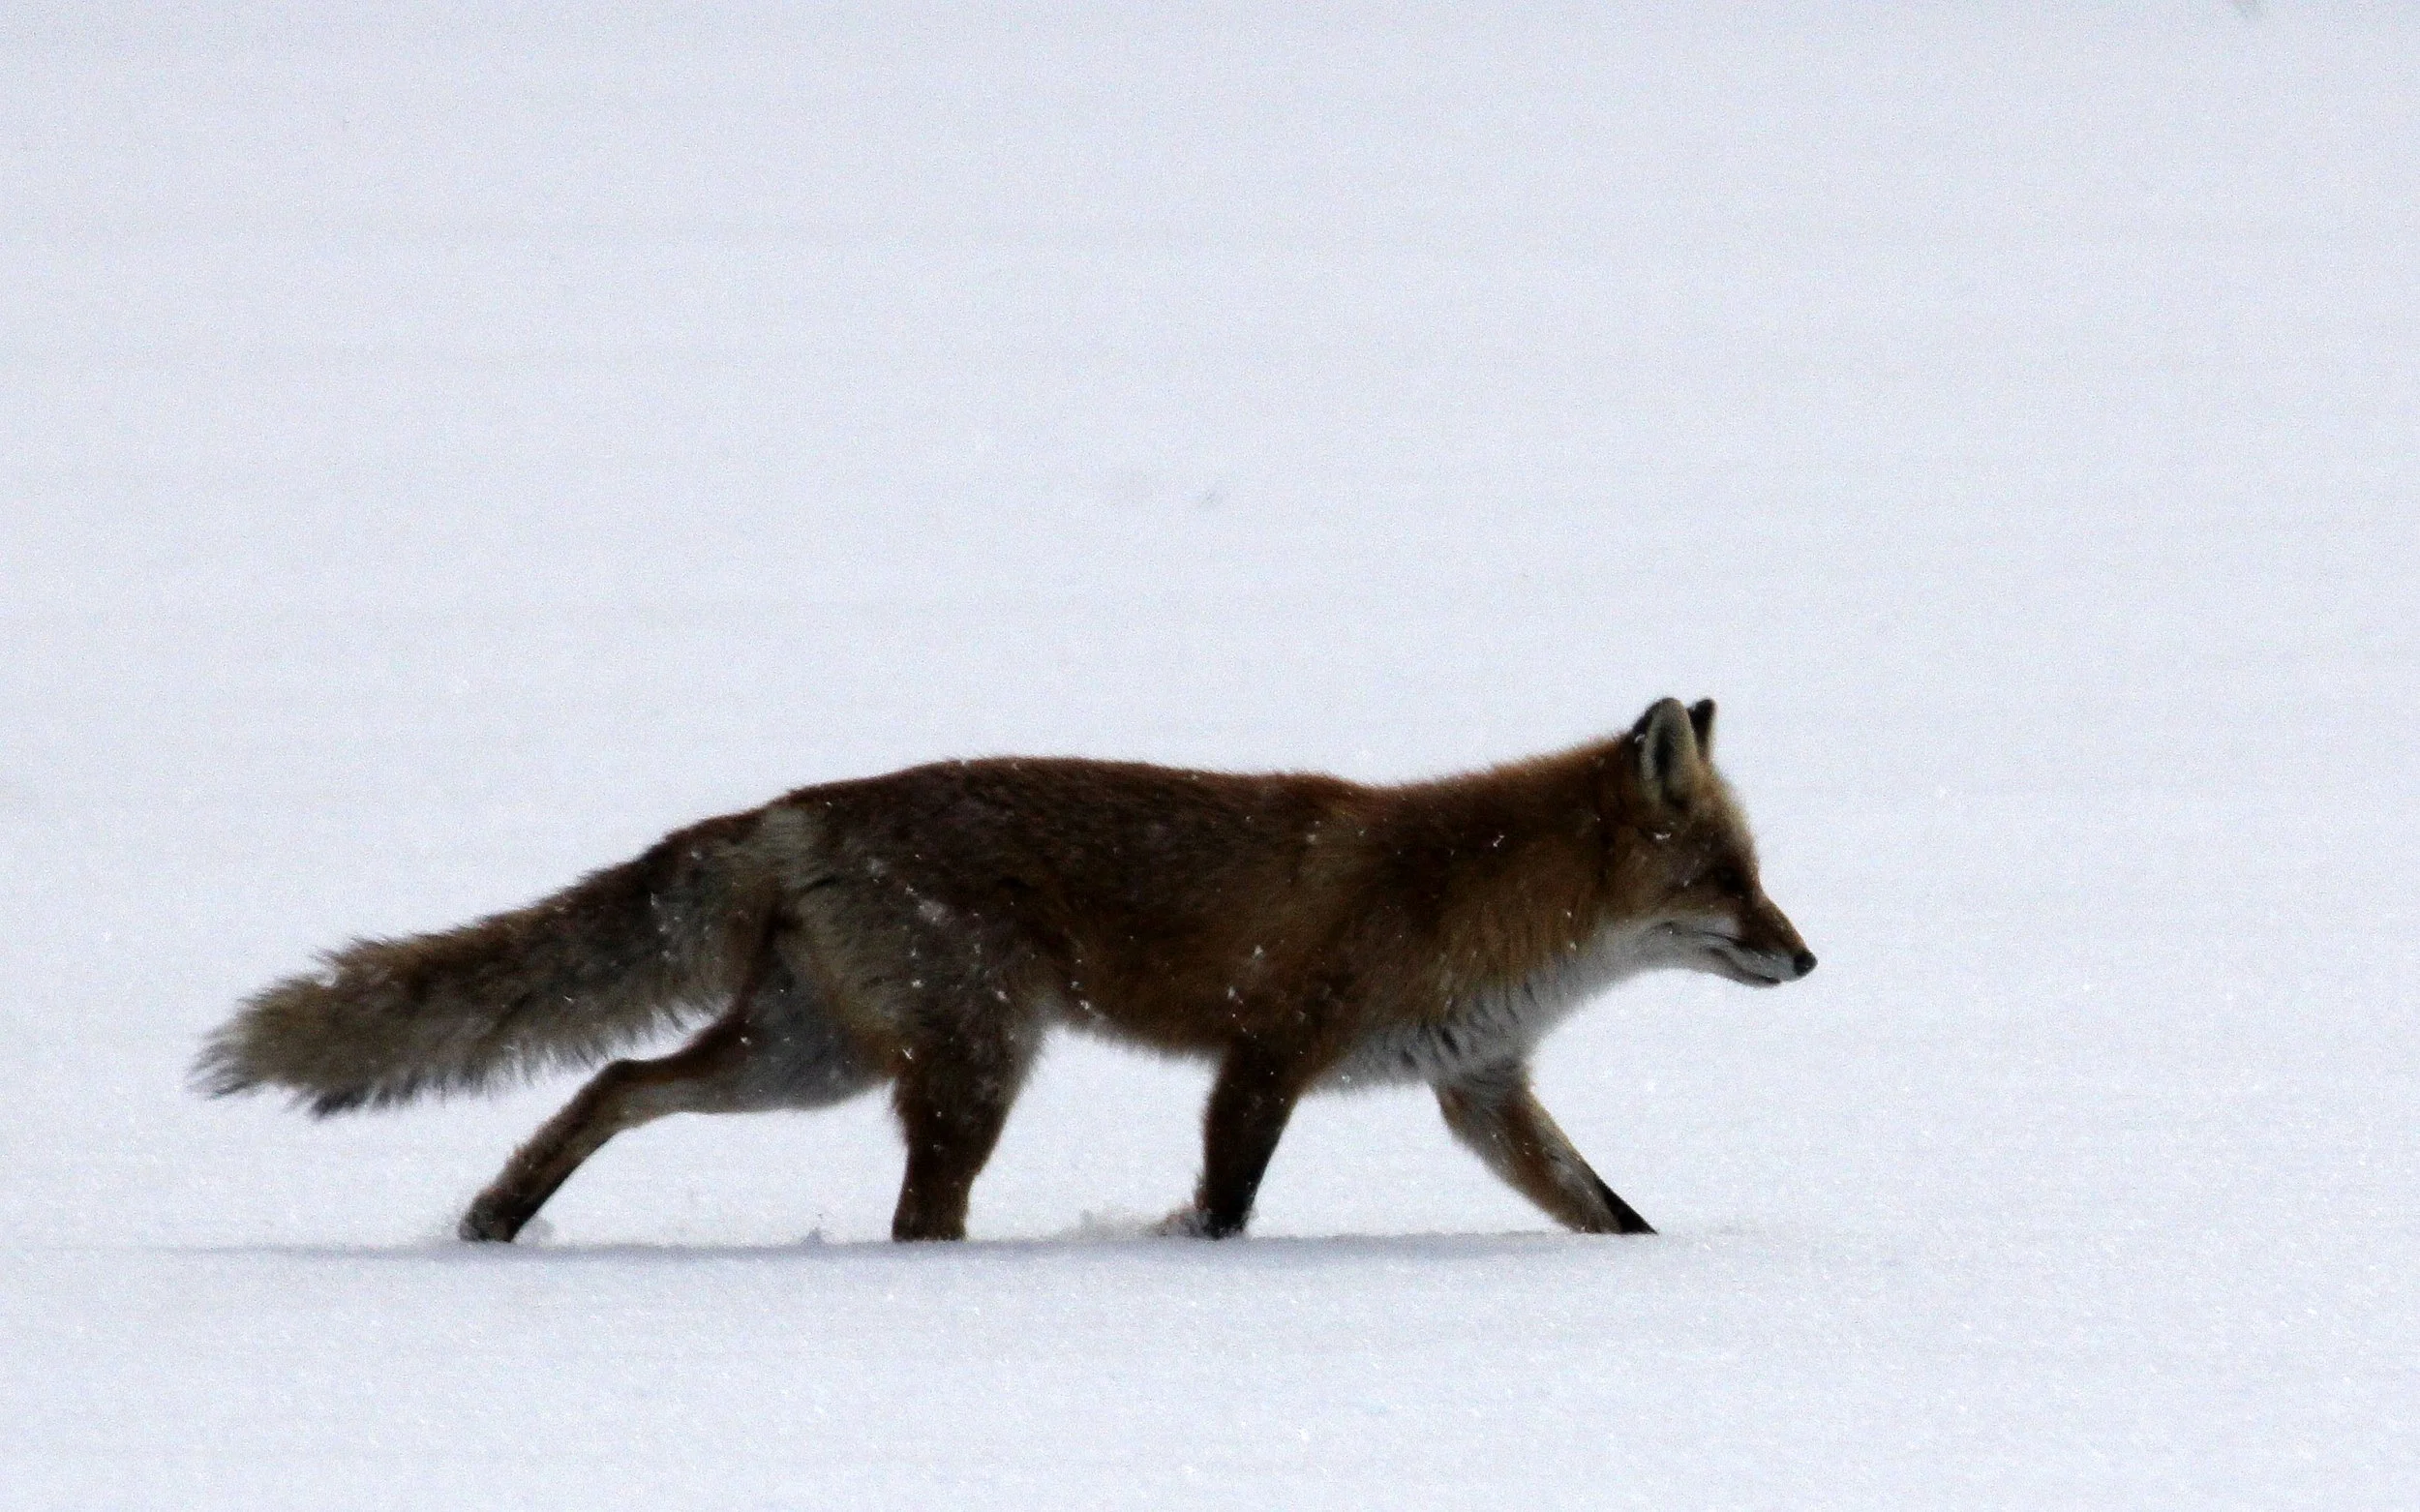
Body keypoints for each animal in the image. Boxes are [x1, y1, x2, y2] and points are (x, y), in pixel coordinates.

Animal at [195, 697, 1814, 1244]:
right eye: (1726, 881)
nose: (1807, 955)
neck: (1470, 897)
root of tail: (797, 805)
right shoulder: (1264, 1052)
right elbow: (1223, 1209)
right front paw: (1178, 1255)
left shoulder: (1481, 1091)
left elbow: (1612, 1217)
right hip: (968, 1064)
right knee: (913, 1216)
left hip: (806, 1059)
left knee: (612, 1077)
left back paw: (496, 1217)